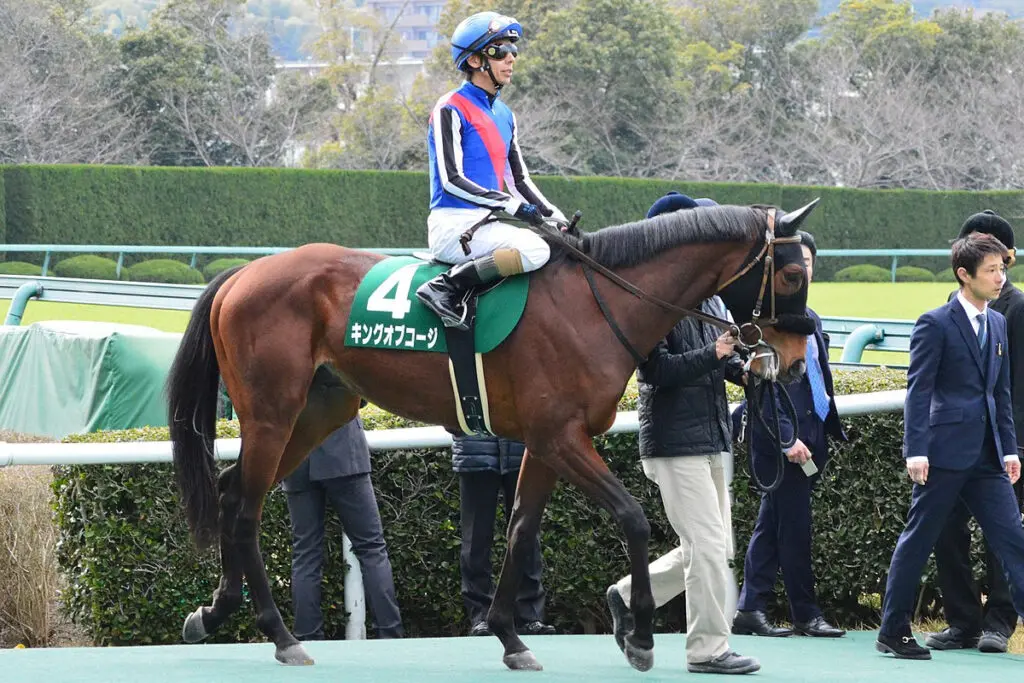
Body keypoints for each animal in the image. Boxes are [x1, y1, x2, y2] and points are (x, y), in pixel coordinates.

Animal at [167, 200, 818, 671]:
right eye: (791, 273)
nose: (789, 360)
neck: (595, 304)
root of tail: (242, 274)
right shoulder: (562, 437)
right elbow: (632, 517)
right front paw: (637, 636)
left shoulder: (545, 443)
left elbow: (520, 528)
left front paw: (511, 637)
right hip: (272, 414)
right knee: (245, 508)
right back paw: (280, 634)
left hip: (317, 411)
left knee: (230, 489)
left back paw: (213, 613)